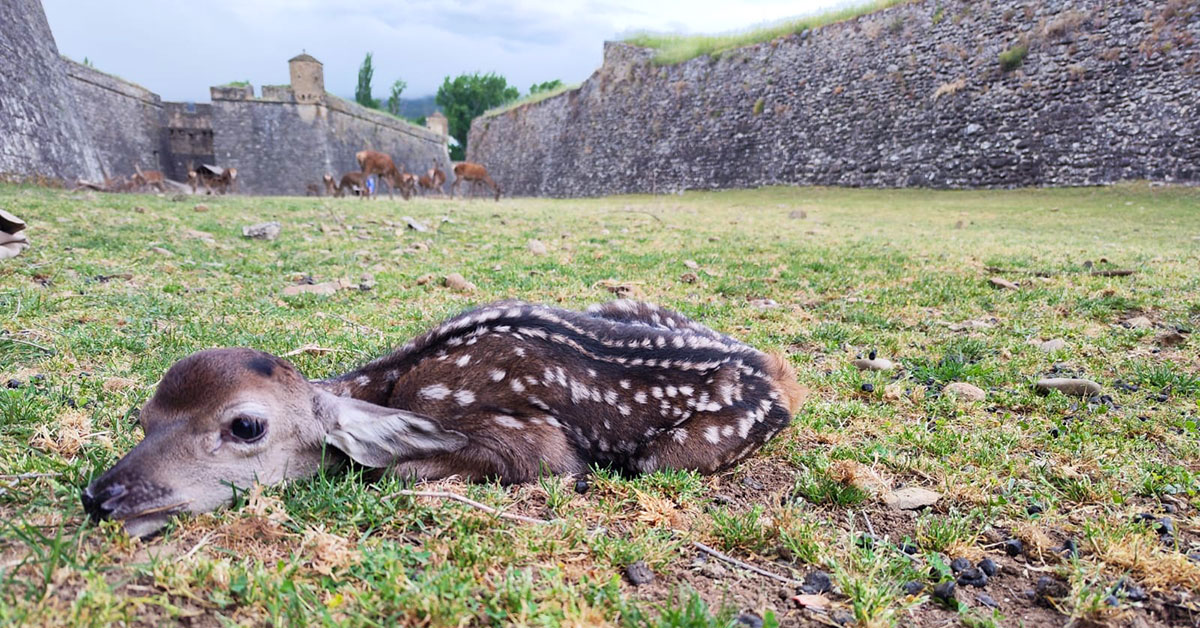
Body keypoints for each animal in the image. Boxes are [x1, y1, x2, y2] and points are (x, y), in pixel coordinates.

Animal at [79, 300, 801, 535]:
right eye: (144, 417)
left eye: (246, 426)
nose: (98, 496)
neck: (398, 386)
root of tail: (773, 372)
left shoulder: (534, 439)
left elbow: (397, 472)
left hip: (675, 451)